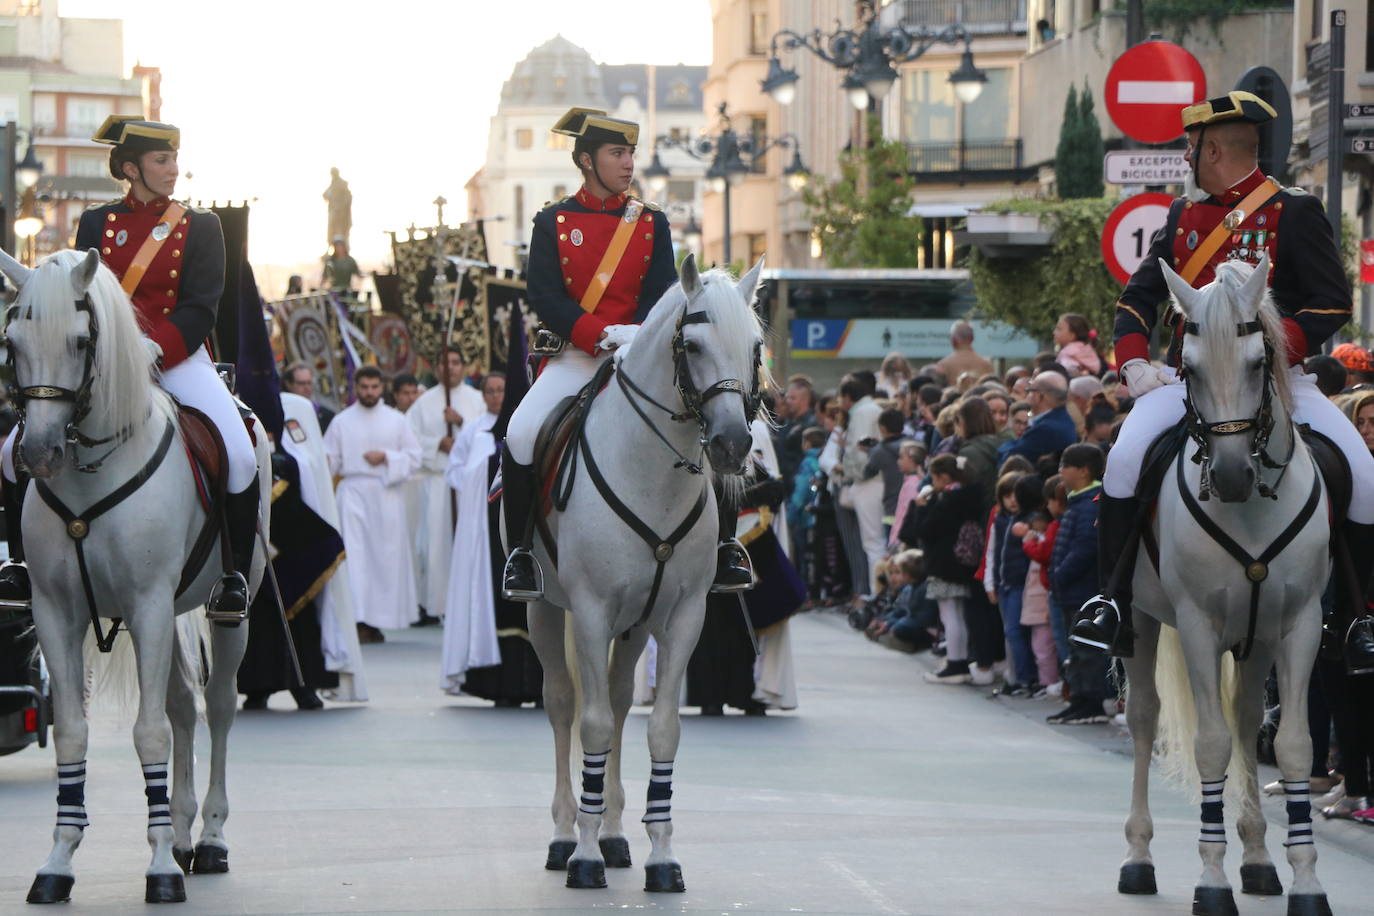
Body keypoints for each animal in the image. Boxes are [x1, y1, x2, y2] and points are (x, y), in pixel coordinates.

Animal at [0, 247, 267, 906]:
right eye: (12, 342)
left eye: (80, 340)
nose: (38, 453)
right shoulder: (58, 612)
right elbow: (74, 732)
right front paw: (59, 861)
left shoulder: (146, 605)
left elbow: (150, 733)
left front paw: (162, 870)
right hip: (170, 613)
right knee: (182, 708)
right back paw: (182, 832)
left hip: (227, 613)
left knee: (216, 707)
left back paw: (211, 839)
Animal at [522, 254, 769, 889]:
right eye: (694, 344)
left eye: (755, 347)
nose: (732, 445)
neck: (653, 472)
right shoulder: (589, 613)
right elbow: (591, 725)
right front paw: (583, 856)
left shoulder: (683, 616)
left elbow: (659, 728)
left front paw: (661, 855)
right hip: (544, 610)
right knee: (563, 704)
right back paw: (566, 835)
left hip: (633, 626)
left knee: (614, 697)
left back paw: (612, 834)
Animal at [1115, 256, 1330, 916]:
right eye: (1188, 368)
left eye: (1260, 363)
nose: (1232, 475)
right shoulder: (1197, 626)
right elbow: (1209, 745)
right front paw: (1211, 881)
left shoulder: (1300, 626)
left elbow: (1293, 745)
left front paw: (1305, 882)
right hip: (1141, 623)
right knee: (1145, 720)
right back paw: (1138, 858)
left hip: (1257, 640)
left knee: (1245, 719)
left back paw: (1258, 859)